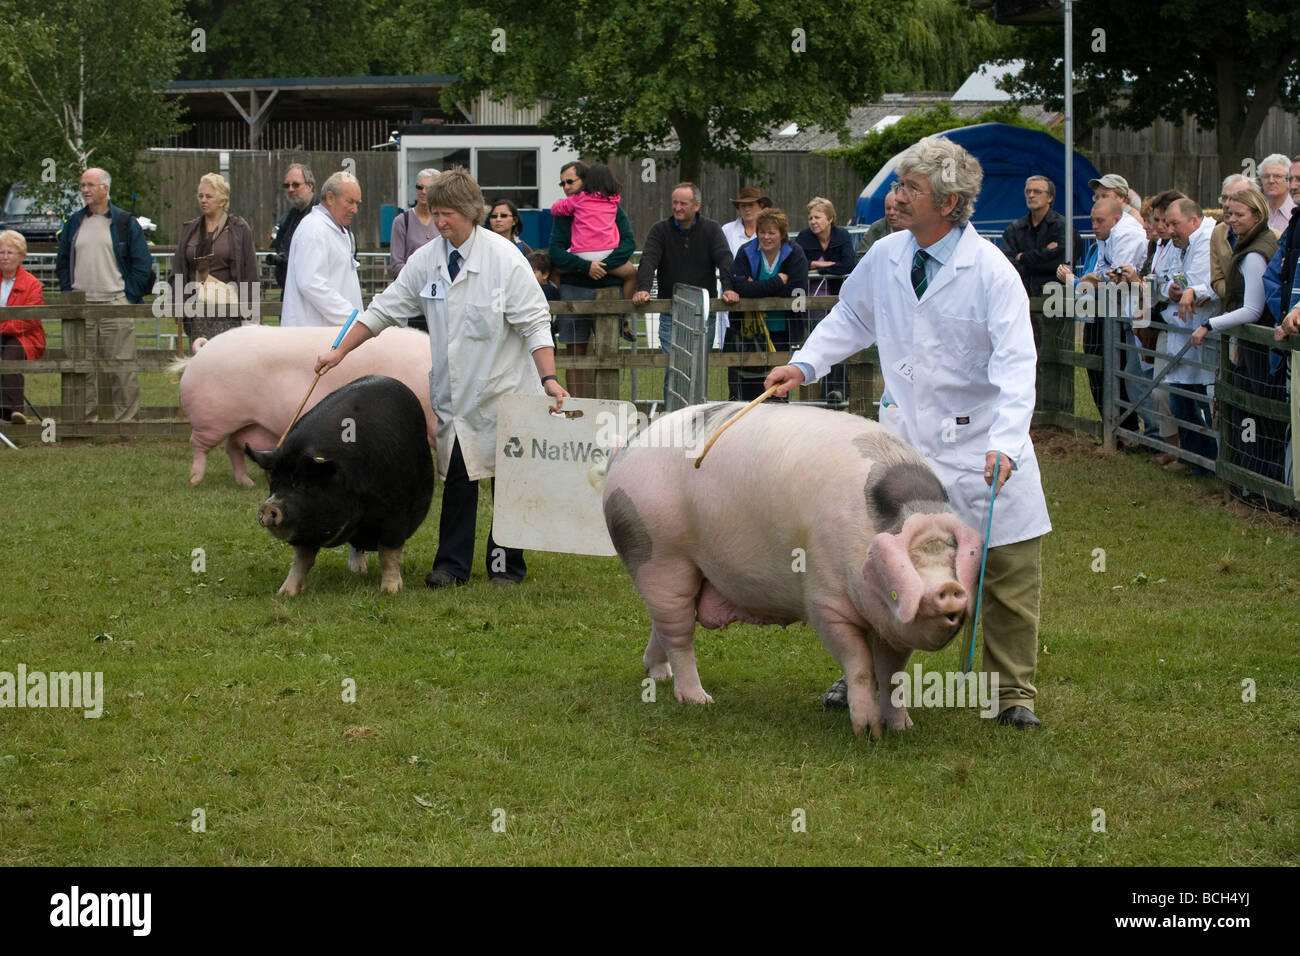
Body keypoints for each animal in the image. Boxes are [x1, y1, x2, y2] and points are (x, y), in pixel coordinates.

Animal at [174, 325, 436, 486]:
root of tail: (202, 350)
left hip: (243, 423)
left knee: (233, 449)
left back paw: (246, 483)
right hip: (212, 419)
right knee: (199, 446)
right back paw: (194, 481)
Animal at [603, 403, 977, 738]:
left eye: (951, 561)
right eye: (901, 580)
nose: (949, 590)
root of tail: (626, 450)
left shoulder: (891, 625)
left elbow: (892, 675)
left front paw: (903, 728)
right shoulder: (824, 600)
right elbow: (858, 665)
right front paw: (867, 734)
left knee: (664, 626)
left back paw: (658, 675)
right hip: (660, 556)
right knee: (678, 634)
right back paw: (700, 700)